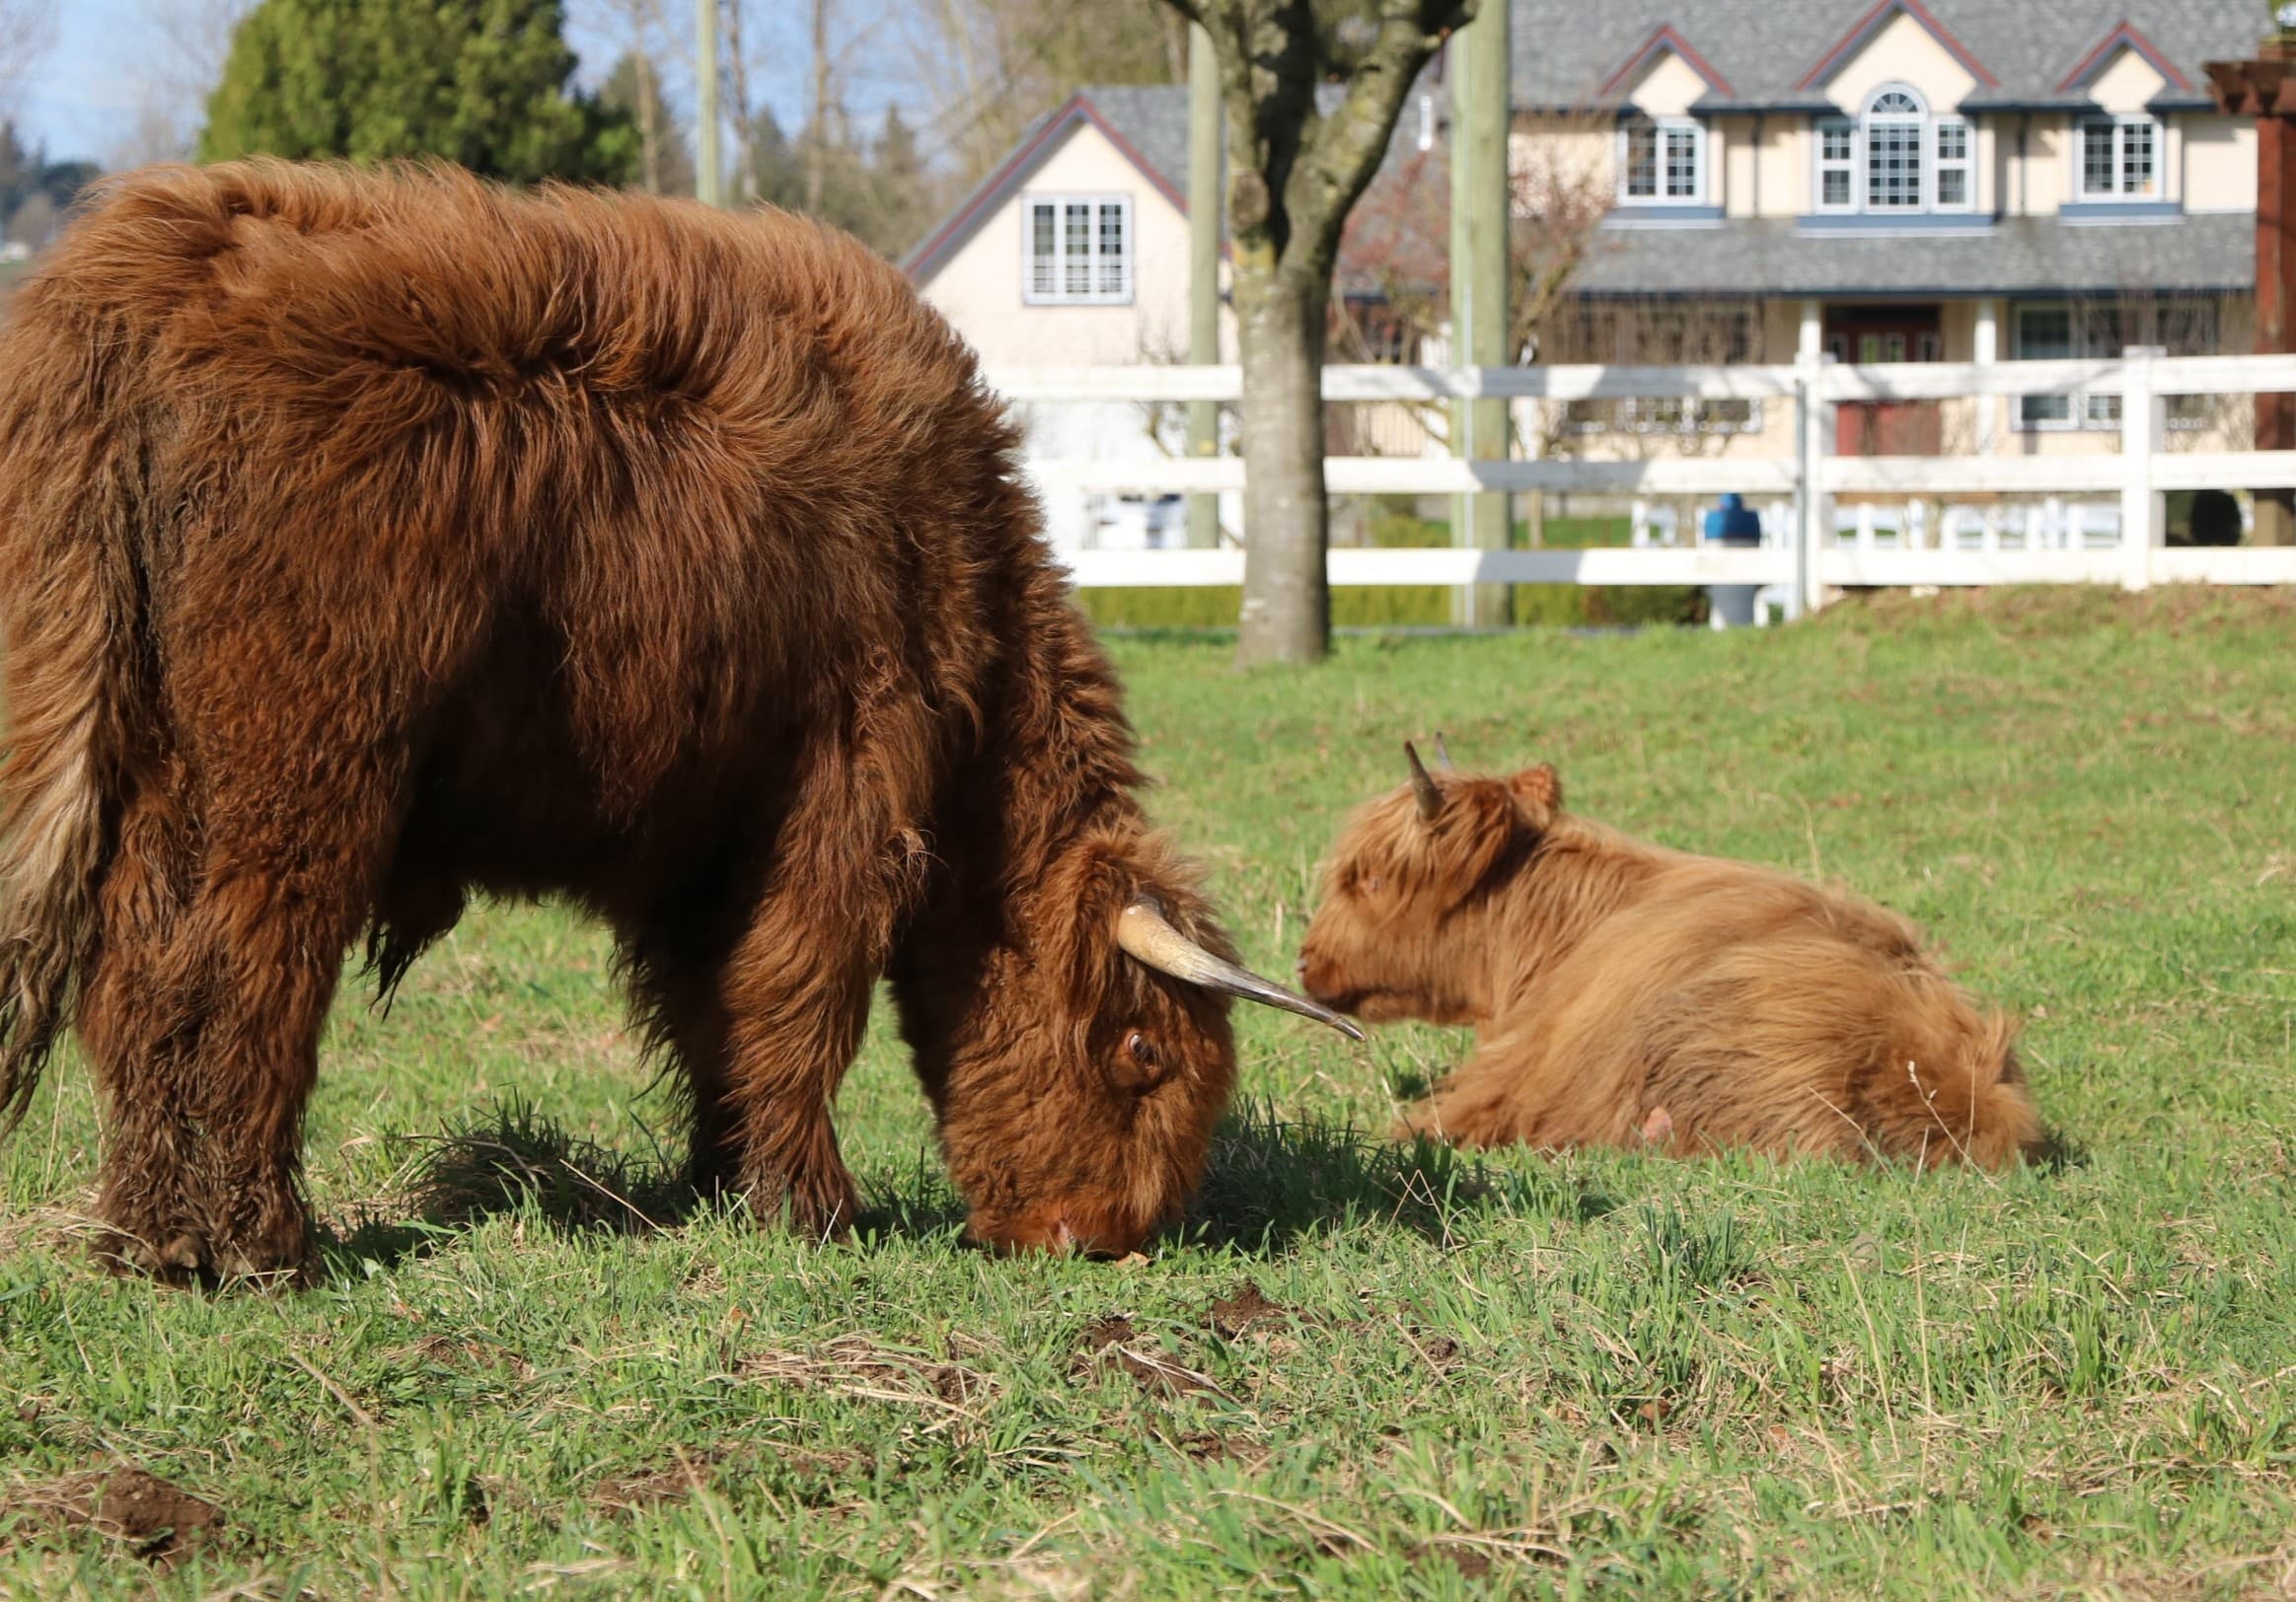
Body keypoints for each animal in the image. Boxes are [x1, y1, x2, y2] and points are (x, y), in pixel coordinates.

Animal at [0, 161, 1360, 1283]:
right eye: (1139, 1053)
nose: (1100, 1241)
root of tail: (156, 262)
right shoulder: (849, 790)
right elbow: (799, 995)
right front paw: (813, 1208)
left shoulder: (709, 831)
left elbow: (715, 1007)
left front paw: (724, 1180)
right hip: (303, 768)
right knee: (239, 970)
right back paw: (261, 1243)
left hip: (162, 767)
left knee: (137, 973)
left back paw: (152, 1237)